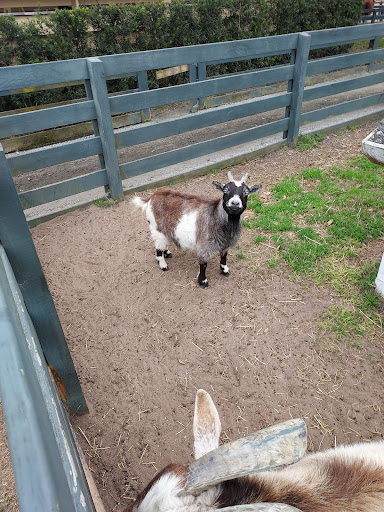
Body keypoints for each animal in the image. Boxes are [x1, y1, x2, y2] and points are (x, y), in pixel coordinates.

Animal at [131, 171, 260, 284]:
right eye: (225, 189)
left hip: (166, 229)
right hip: (156, 228)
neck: (215, 215)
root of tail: (151, 198)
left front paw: (224, 270)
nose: (234, 203)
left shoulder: (225, 243)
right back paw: (163, 264)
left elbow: (224, 257)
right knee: (158, 247)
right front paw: (203, 281)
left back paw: (167, 253)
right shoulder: (204, 245)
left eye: (246, 192)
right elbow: (204, 264)